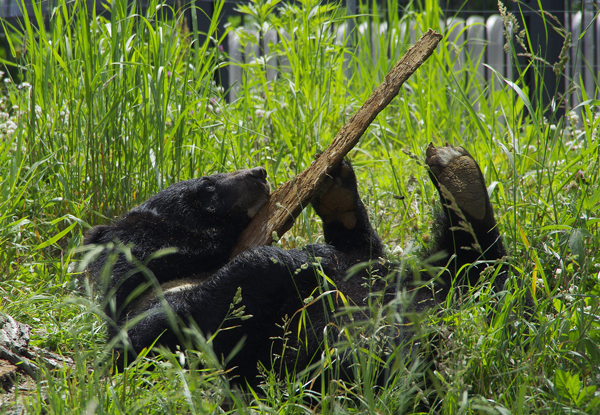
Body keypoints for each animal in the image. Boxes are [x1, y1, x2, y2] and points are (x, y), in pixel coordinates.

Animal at [84, 145, 506, 386]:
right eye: (207, 186)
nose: (258, 172)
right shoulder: (151, 313)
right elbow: (174, 333)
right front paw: (304, 256)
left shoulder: (368, 263)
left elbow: (362, 253)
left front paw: (336, 185)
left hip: (444, 284)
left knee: (474, 264)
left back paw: (459, 174)